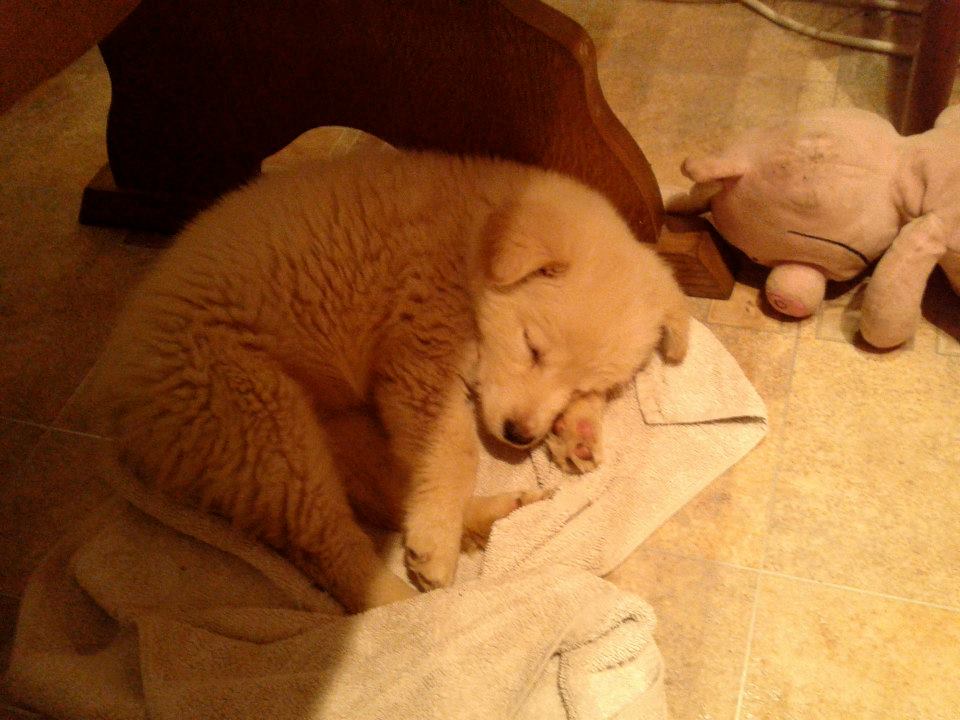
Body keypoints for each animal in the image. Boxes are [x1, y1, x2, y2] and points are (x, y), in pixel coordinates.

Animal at [95, 149, 689, 612]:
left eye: (587, 385)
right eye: (532, 347)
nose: (520, 436)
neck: (472, 240)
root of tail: (121, 397)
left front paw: (579, 432)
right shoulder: (421, 357)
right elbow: (454, 453)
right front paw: (436, 543)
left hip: (319, 433)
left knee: (380, 496)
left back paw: (490, 517)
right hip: (255, 417)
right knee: (328, 544)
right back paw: (405, 603)